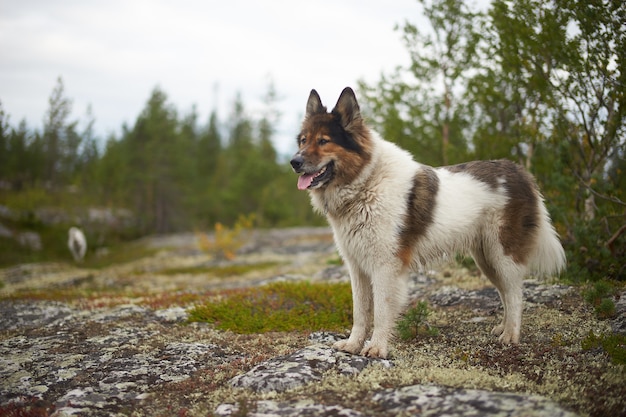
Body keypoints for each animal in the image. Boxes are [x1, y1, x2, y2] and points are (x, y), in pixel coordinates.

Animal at [290, 88, 564, 358]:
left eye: (323, 141)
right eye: (303, 140)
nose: (294, 162)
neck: (365, 183)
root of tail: (518, 170)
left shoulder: (385, 267)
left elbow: (380, 312)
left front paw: (377, 347)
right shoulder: (357, 267)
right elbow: (360, 312)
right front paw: (353, 344)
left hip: (503, 255)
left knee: (515, 293)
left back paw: (511, 335)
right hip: (487, 260)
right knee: (506, 292)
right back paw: (502, 327)